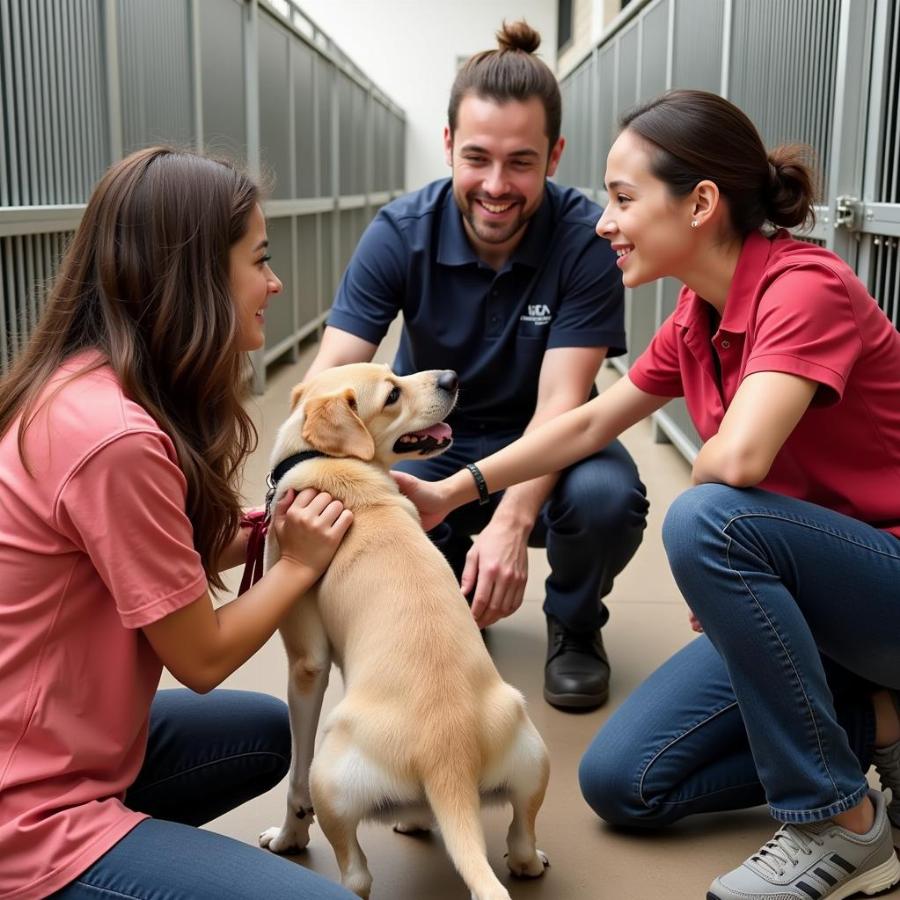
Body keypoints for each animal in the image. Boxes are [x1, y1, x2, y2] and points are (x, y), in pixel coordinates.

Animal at [258, 364, 548, 900]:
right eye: (393, 392)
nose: (452, 377)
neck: (331, 465)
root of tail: (449, 759)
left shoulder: (306, 663)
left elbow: (294, 780)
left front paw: (288, 837)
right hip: (533, 756)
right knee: (520, 839)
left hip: (330, 777)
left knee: (356, 873)